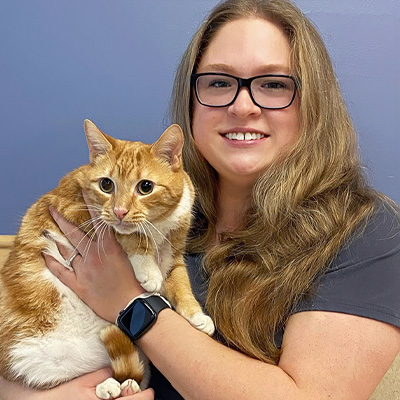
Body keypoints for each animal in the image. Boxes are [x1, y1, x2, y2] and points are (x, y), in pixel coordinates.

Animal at [0, 120, 214, 398]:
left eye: (145, 187)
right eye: (106, 185)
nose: (119, 211)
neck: (159, 224)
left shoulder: (174, 254)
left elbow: (181, 285)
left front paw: (196, 316)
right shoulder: (75, 209)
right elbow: (128, 235)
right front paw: (148, 269)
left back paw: (124, 386)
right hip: (36, 361)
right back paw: (107, 386)